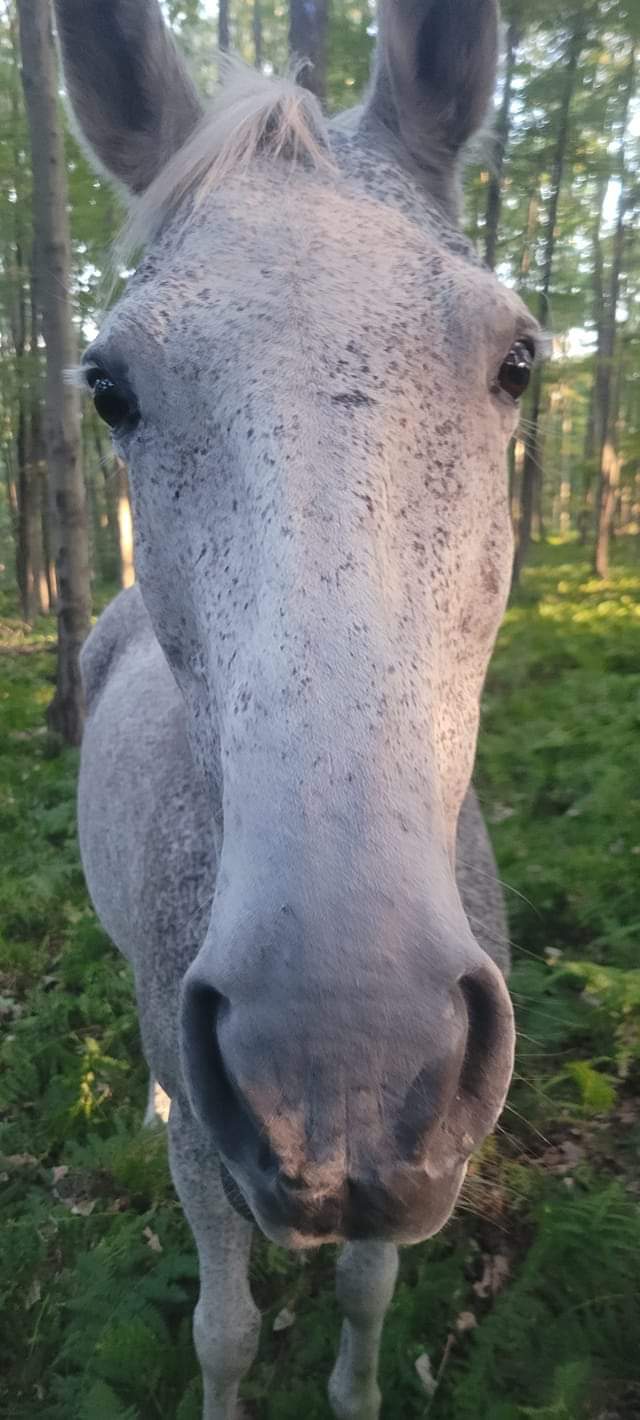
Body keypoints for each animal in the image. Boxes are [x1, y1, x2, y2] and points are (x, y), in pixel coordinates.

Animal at [55, 1, 541, 1415]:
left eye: (517, 360)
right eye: (108, 386)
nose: (343, 1065)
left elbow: (368, 1294)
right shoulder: (213, 1168)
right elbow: (221, 1330)